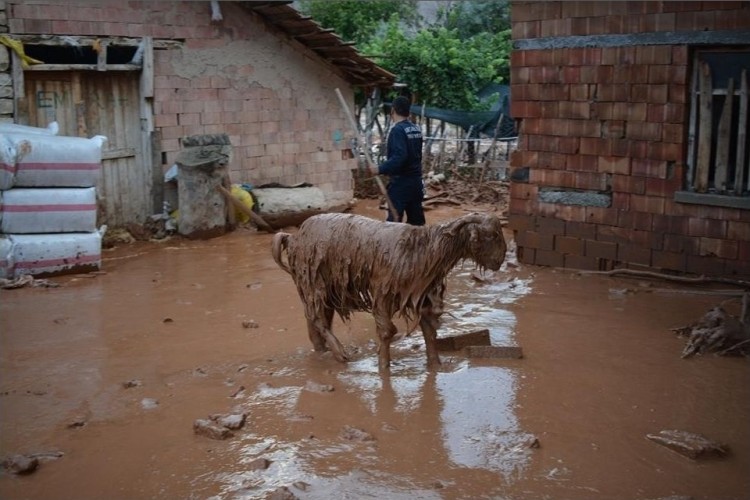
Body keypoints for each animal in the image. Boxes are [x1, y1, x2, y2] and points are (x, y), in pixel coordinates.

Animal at [274, 213, 508, 374]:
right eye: (492, 234)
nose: (500, 260)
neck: (425, 248)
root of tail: (292, 237)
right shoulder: (382, 291)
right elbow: (387, 331)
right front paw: (383, 368)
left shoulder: (422, 295)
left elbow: (429, 330)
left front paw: (436, 366)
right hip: (312, 280)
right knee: (316, 318)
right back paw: (340, 353)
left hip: (322, 286)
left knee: (317, 318)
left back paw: (322, 350)